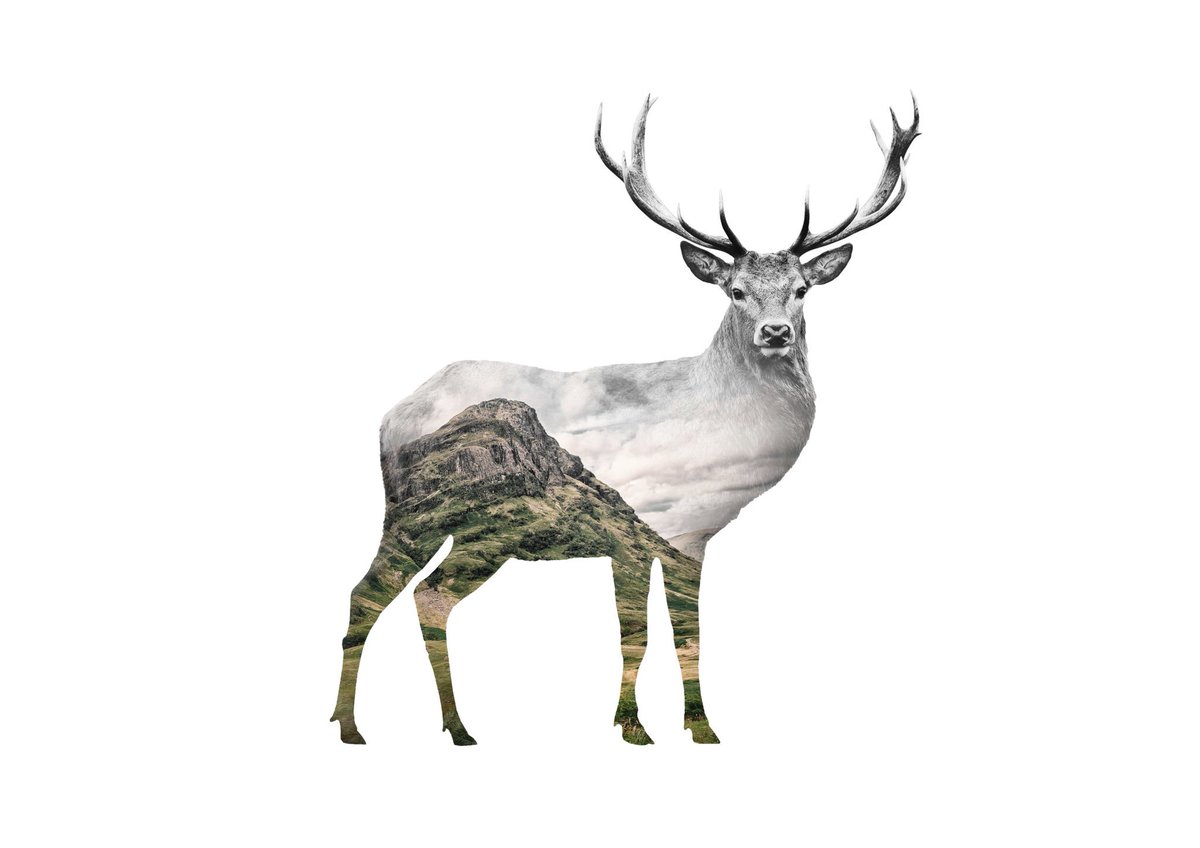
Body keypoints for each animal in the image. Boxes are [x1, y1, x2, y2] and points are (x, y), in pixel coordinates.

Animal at [332, 94, 920, 746]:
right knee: (385, 592)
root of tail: (390, 415)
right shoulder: (677, 524)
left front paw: (644, 724)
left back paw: (447, 728)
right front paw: (684, 729)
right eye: (736, 290)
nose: (775, 332)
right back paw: (362, 727)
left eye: (801, 289)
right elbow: (670, 630)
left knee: (413, 596)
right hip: (432, 515)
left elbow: (646, 630)